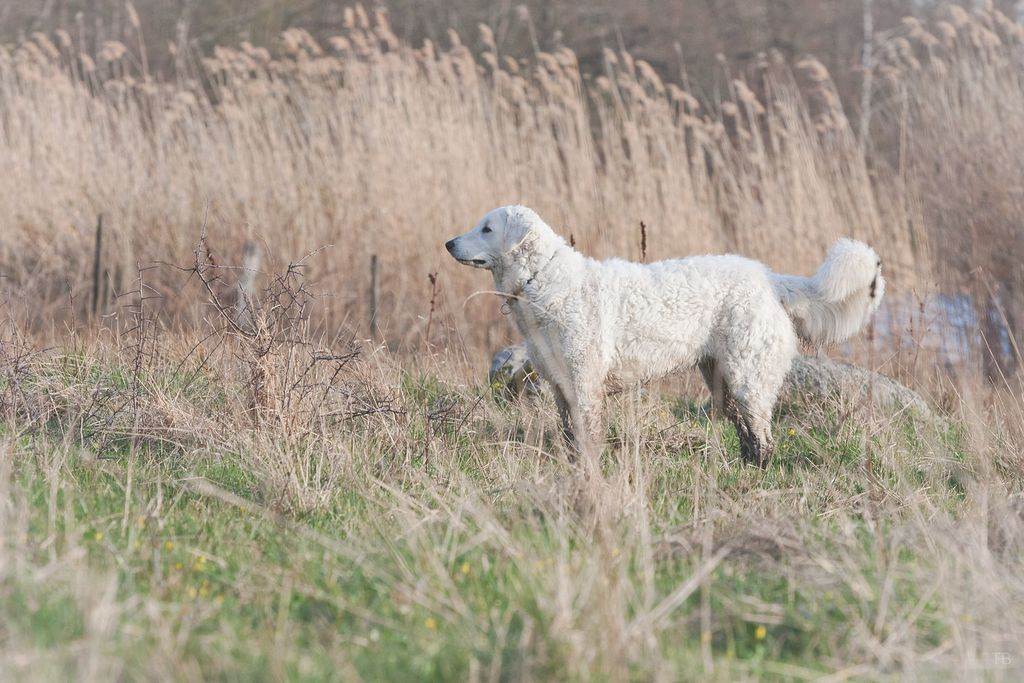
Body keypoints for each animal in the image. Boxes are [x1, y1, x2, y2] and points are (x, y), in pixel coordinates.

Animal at [444, 205, 884, 466]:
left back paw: (760, 471)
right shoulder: (560, 385)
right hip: (721, 378)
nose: (448, 242)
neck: (543, 279)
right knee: (745, 429)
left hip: (749, 375)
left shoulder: (585, 384)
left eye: (487, 228)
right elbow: (570, 435)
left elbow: (587, 436)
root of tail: (769, 277)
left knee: (762, 433)